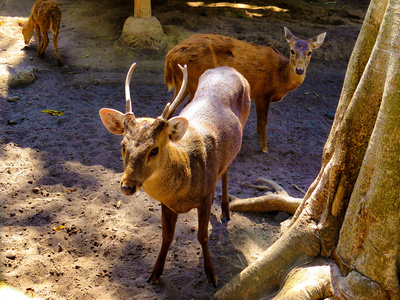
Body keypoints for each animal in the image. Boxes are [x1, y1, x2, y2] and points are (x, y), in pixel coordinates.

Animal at [99, 62, 250, 286]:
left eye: (154, 149)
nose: (127, 186)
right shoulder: (166, 203)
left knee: (226, 170)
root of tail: (228, 67)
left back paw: (225, 212)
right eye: (123, 145)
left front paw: (211, 276)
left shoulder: (205, 197)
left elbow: (203, 236)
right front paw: (154, 274)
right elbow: (167, 236)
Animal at [164, 26, 326, 152]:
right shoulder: (262, 93)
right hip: (194, 80)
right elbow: (263, 121)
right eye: (292, 51)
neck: (279, 80)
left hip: (183, 83)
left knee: (171, 108)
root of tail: (170, 57)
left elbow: (259, 124)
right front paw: (265, 148)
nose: (299, 70)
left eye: (309, 52)